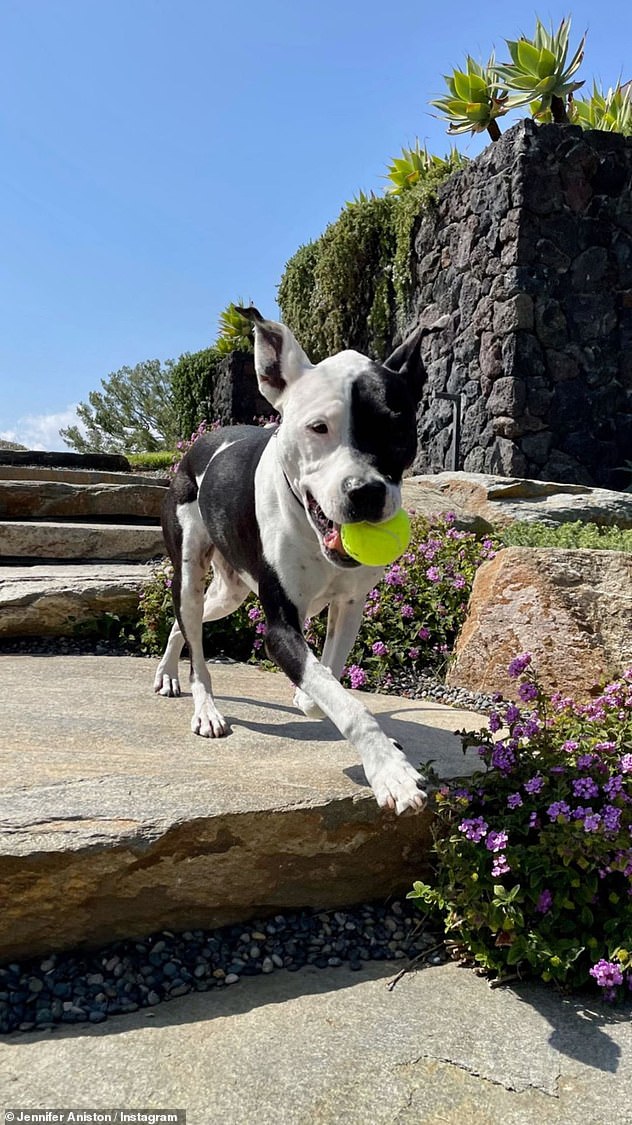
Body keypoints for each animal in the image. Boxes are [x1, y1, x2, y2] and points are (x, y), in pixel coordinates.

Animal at [154, 308, 425, 814]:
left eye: (397, 429)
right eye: (318, 427)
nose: (366, 493)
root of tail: (201, 443)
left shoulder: (349, 605)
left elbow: (328, 679)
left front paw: (307, 698)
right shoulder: (279, 628)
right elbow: (347, 703)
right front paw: (390, 771)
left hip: (229, 592)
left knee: (184, 624)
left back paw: (167, 674)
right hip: (189, 570)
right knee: (195, 638)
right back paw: (206, 708)